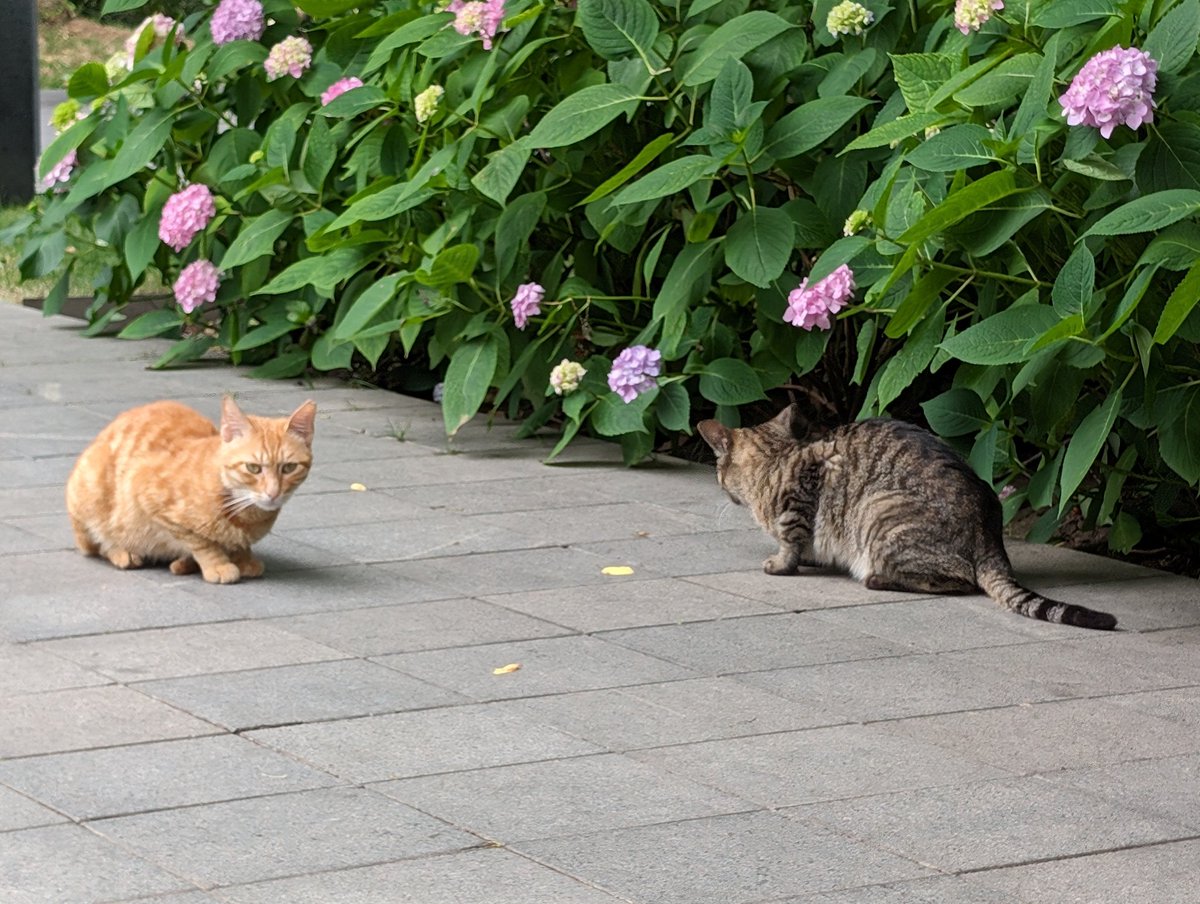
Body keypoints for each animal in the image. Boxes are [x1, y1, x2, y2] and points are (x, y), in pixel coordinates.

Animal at [65, 396, 316, 585]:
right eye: (253, 468)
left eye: (289, 467)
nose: (273, 493)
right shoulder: (148, 496)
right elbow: (201, 541)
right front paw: (218, 563)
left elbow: (237, 545)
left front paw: (243, 557)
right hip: (90, 497)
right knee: (99, 544)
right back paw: (123, 553)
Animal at [700, 400, 1118, 629]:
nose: (719, 485)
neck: (776, 458)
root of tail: (989, 540)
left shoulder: (797, 500)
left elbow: (791, 542)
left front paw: (781, 563)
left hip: (877, 509)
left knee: (959, 581)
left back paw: (875, 578)